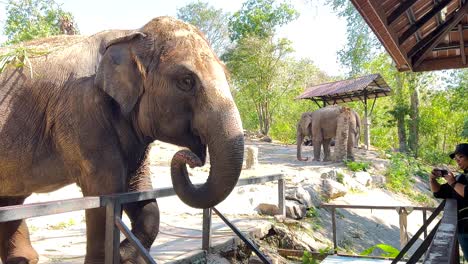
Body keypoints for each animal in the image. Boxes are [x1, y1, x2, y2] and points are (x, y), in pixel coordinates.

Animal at [0, 17, 245, 264]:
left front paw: (125, 255)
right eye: (186, 81)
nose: (194, 157)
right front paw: (117, 253)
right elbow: (107, 190)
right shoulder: (82, 110)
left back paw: (24, 259)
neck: (130, 34)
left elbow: (139, 192)